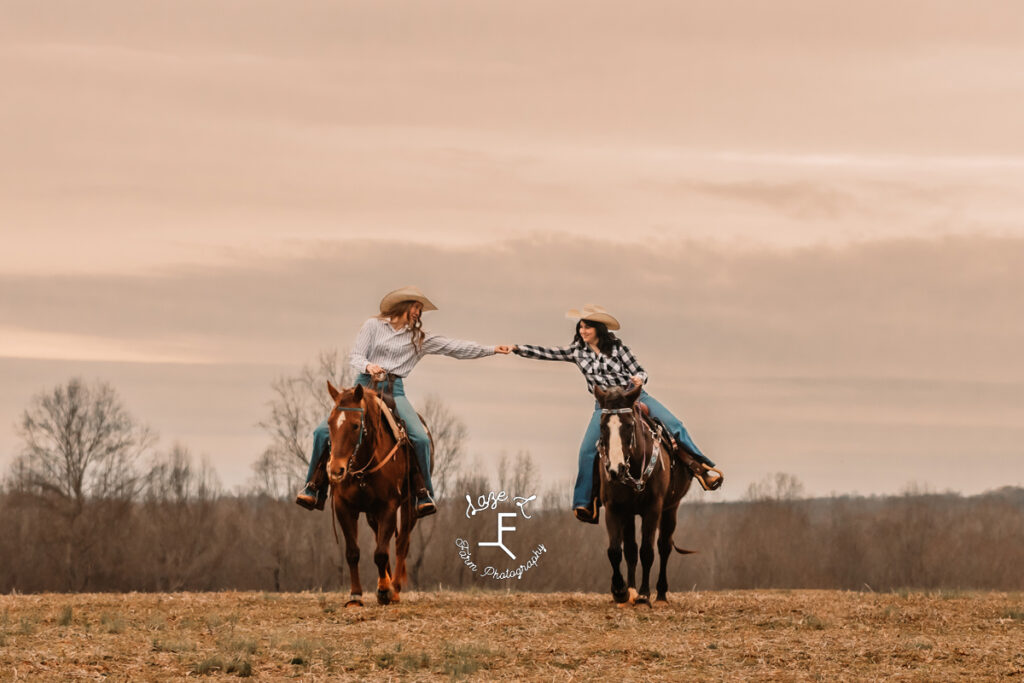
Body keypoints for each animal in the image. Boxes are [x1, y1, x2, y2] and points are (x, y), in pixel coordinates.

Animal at [327, 382, 423, 606]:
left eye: (355, 425)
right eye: (329, 423)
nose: (335, 470)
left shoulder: (389, 506)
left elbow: (380, 552)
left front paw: (384, 591)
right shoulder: (344, 507)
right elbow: (353, 552)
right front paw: (355, 596)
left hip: (409, 506)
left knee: (401, 544)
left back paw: (394, 589)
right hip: (372, 515)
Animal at [593, 382, 696, 606]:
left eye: (629, 425)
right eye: (603, 426)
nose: (615, 470)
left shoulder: (653, 508)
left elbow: (647, 551)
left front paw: (643, 594)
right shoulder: (614, 508)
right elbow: (615, 550)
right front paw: (620, 591)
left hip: (670, 508)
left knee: (664, 546)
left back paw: (661, 595)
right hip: (630, 514)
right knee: (631, 549)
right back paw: (630, 590)